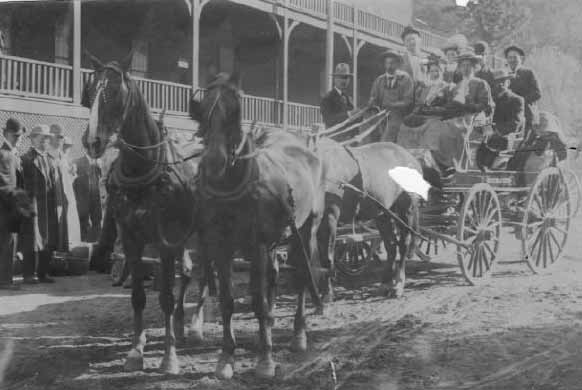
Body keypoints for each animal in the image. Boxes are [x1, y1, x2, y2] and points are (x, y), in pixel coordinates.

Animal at [80, 50, 205, 374]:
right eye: (89, 92)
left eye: (114, 91)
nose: (92, 141)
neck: (143, 170)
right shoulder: (131, 238)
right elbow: (138, 296)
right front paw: (136, 350)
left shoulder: (164, 241)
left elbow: (165, 296)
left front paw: (169, 357)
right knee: (189, 272)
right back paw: (182, 325)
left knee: (208, 276)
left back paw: (196, 326)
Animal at [190, 72, 330, 378]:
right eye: (202, 109)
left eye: (235, 110)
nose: (215, 162)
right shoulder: (222, 246)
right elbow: (228, 301)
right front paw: (226, 357)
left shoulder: (258, 245)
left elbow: (258, 300)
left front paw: (265, 359)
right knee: (275, 276)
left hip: (306, 231)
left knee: (301, 277)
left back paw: (298, 334)